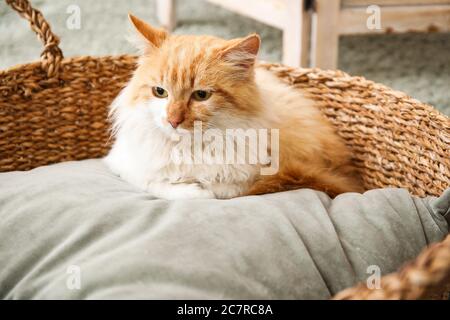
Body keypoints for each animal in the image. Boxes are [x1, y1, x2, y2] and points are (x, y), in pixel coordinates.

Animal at [103, 14, 364, 200]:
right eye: (160, 92)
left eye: (201, 95)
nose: (173, 121)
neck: (191, 146)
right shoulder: (123, 165)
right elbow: (164, 185)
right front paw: (193, 188)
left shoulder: (247, 178)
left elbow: (221, 190)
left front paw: (203, 188)